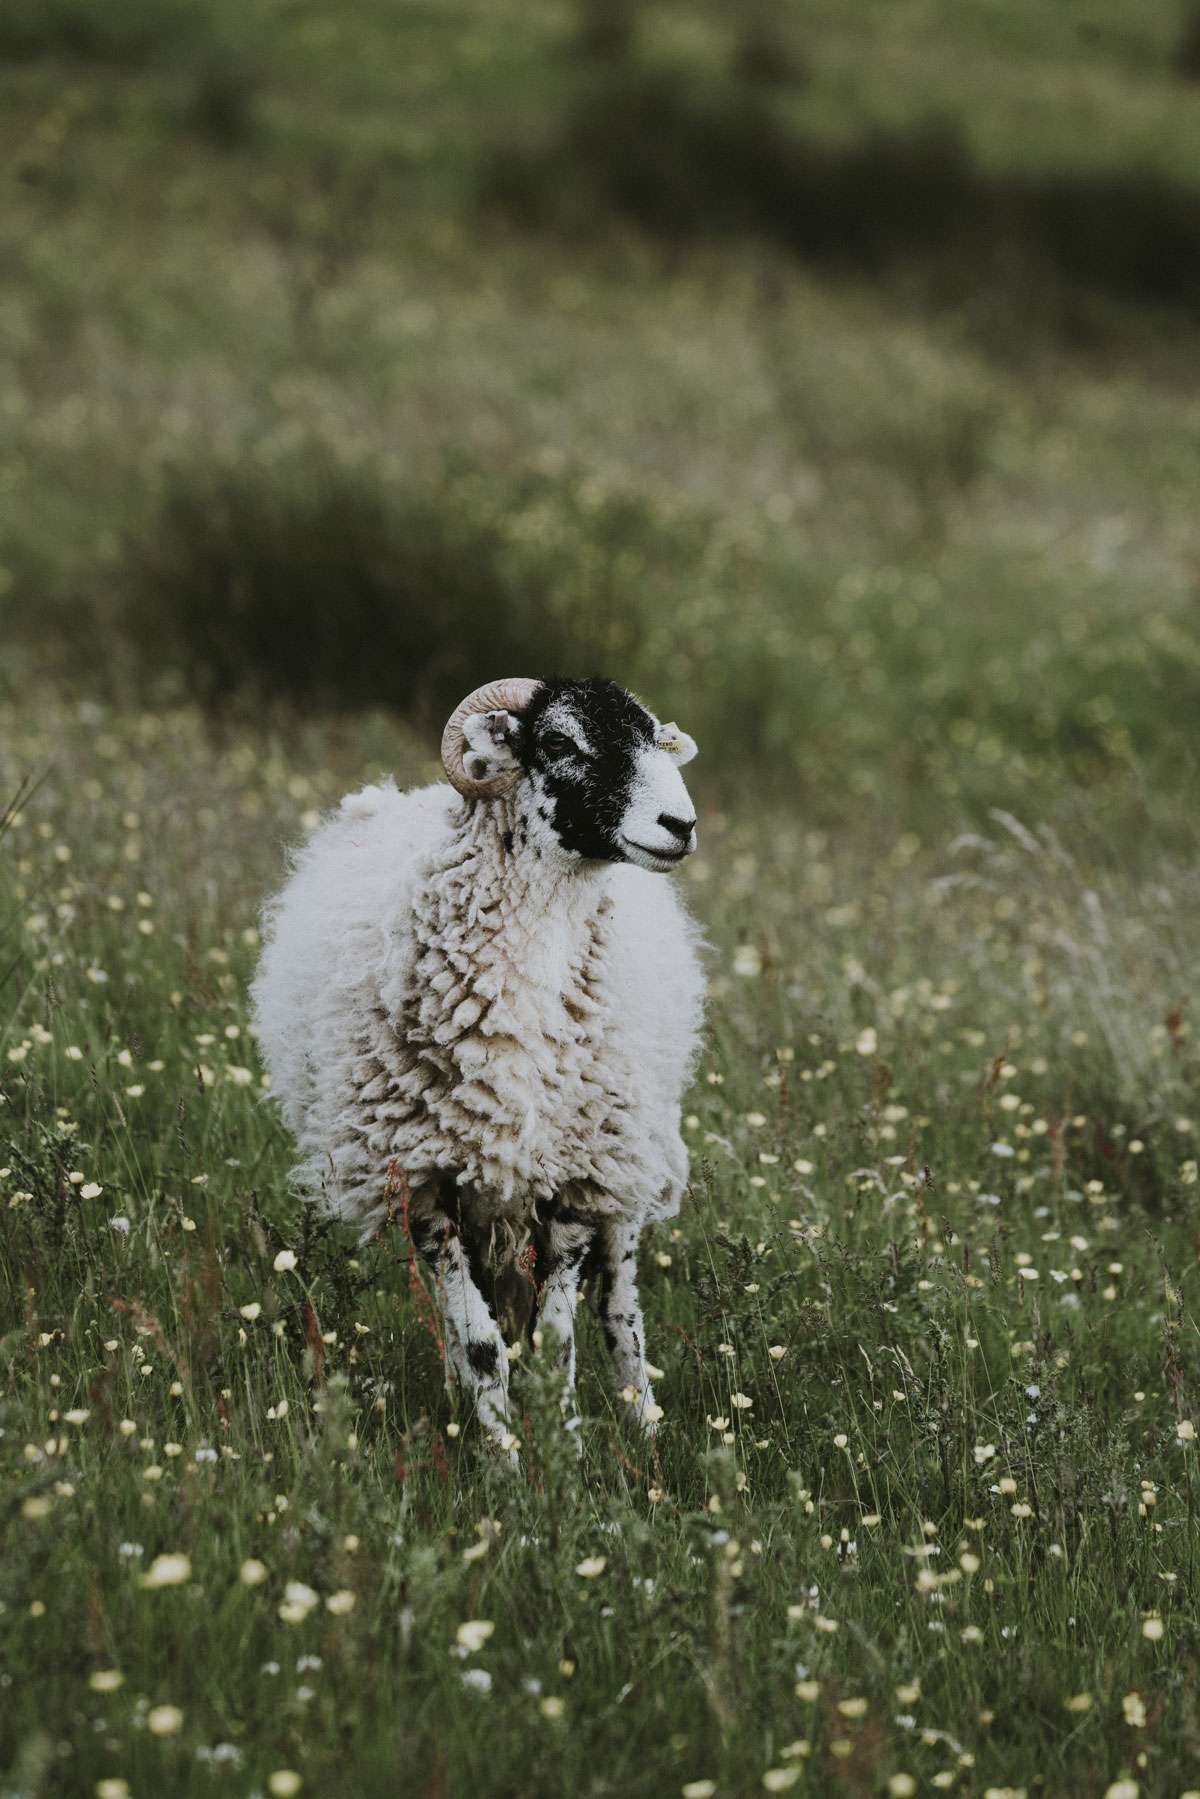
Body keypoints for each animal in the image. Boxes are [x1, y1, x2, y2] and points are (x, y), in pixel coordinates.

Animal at [251, 676, 705, 1446]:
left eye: (654, 739)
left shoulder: (574, 1178)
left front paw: (567, 1454)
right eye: (557, 740)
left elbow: (558, 1341)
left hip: (624, 1157)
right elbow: (481, 1341)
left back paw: (642, 1423)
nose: (681, 823)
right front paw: (503, 1455)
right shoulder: (425, 1183)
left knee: (620, 1304)